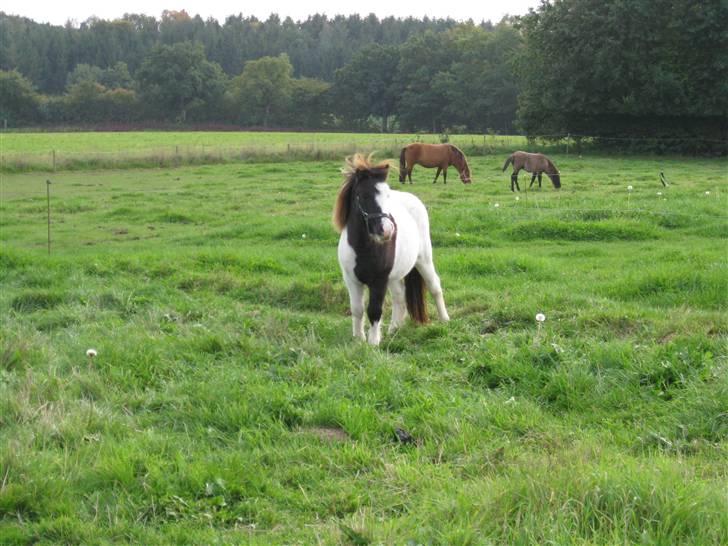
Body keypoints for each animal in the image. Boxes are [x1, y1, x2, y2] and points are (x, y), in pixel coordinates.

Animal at [332, 153, 446, 344]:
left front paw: (373, 343)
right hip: (394, 276)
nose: (387, 230)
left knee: (434, 286)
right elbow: (357, 309)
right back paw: (394, 330)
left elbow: (374, 310)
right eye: (363, 195)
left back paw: (445, 320)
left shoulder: (379, 281)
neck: (363, 248)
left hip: (423, 260)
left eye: (387, 195)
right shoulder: (351, 280)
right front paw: (359, 339)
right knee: (399, 297)